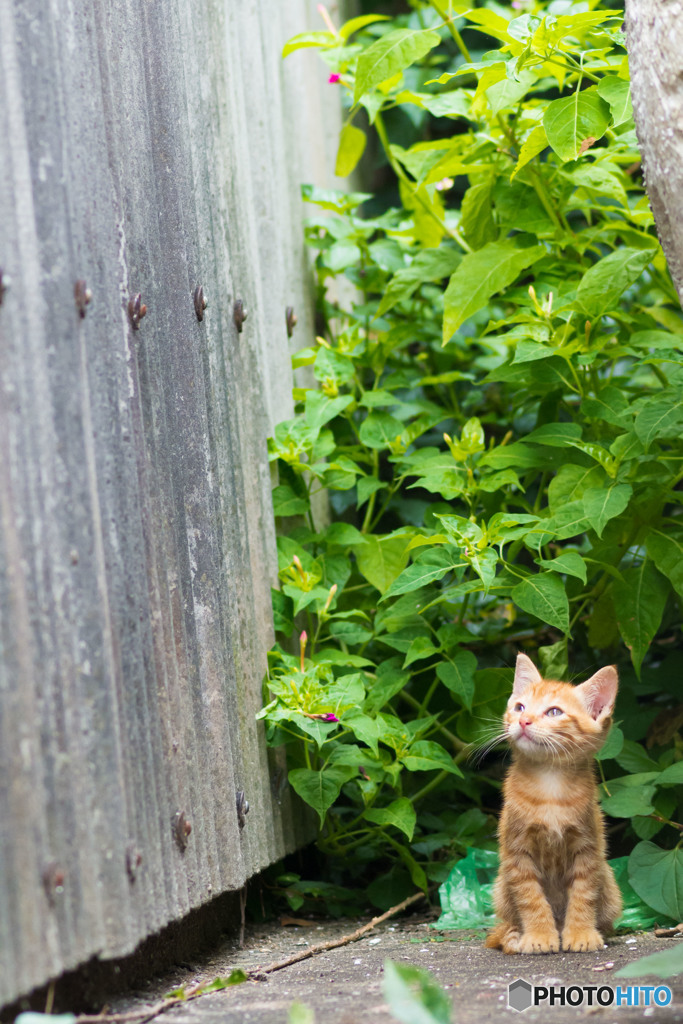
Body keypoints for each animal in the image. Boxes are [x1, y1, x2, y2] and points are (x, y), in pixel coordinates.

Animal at [485, 651, 626, 954]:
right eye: (519, 707)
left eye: (554, 712)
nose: (523, 721)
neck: (550, 784)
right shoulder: (516, 854)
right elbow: (530, 898)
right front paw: (539, 936)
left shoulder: (588, 850)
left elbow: (584, 894)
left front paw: (581, 933)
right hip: (502, 883)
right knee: (503, 928)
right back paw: (516, 936)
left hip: (608, 879)